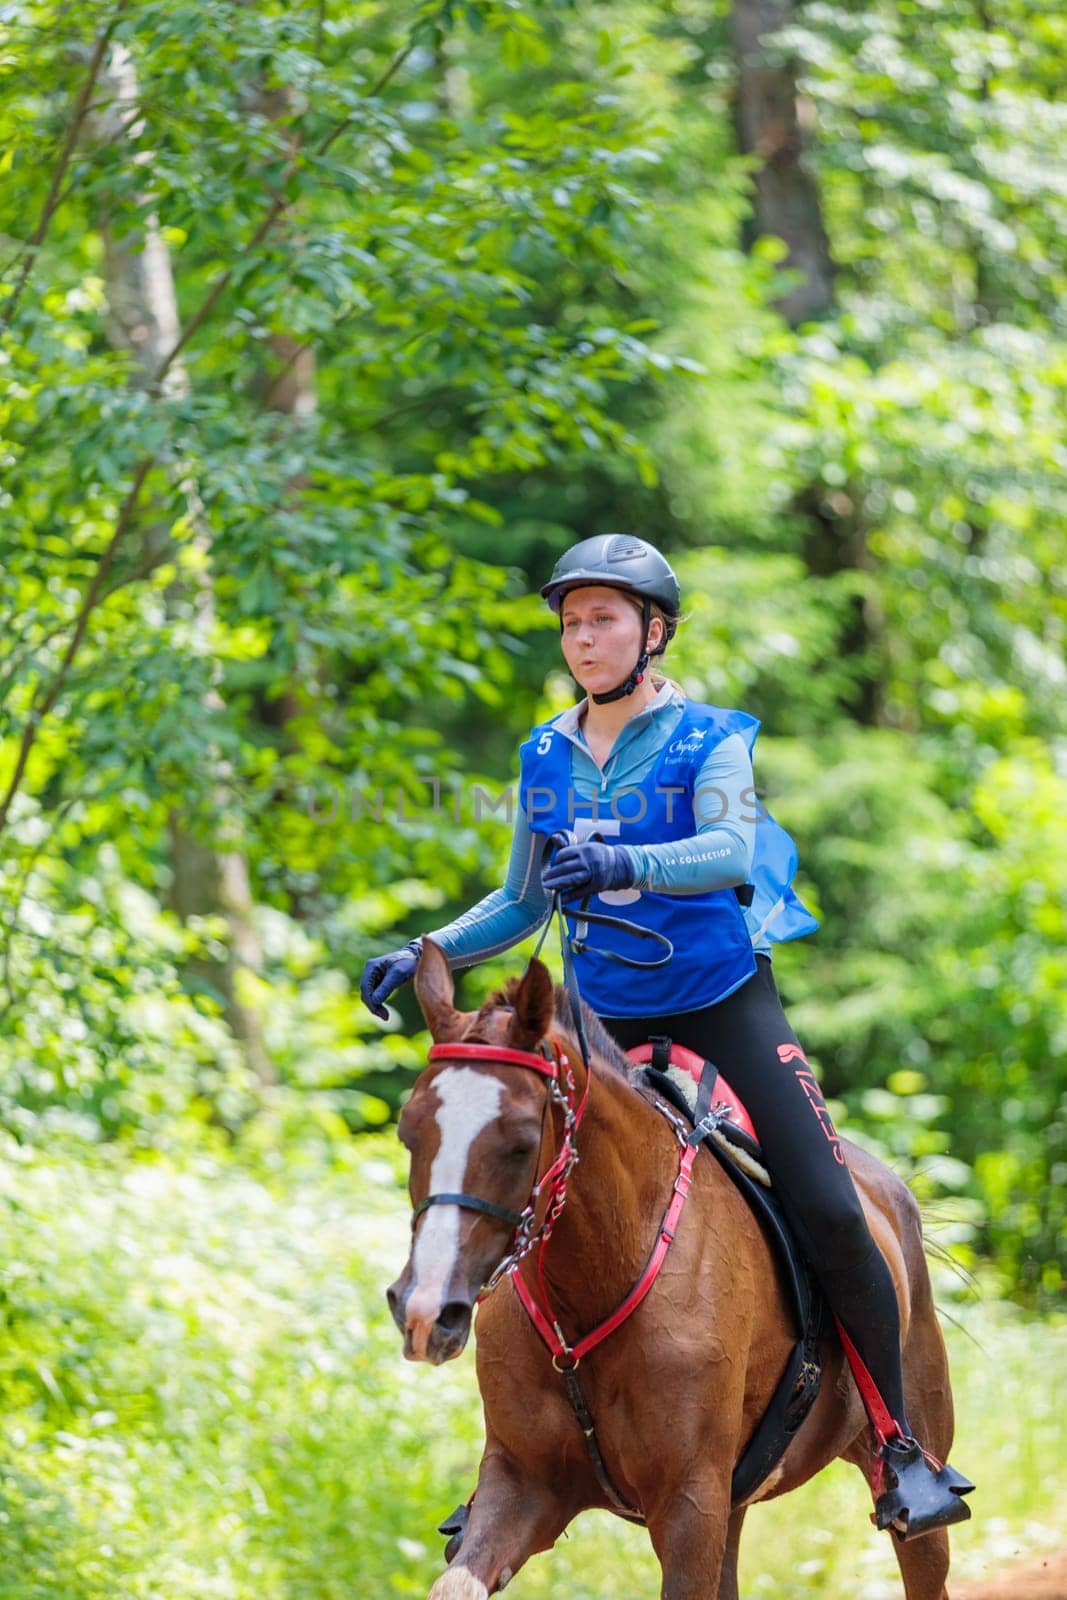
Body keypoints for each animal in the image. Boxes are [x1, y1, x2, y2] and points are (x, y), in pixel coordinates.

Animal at [388, 934, 966, 1600]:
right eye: (409, 1134)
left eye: (518, 1141)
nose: (426, 1311)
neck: (590, 1291)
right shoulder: (522, 1487)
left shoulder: (690, 1506)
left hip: (909, 1479)